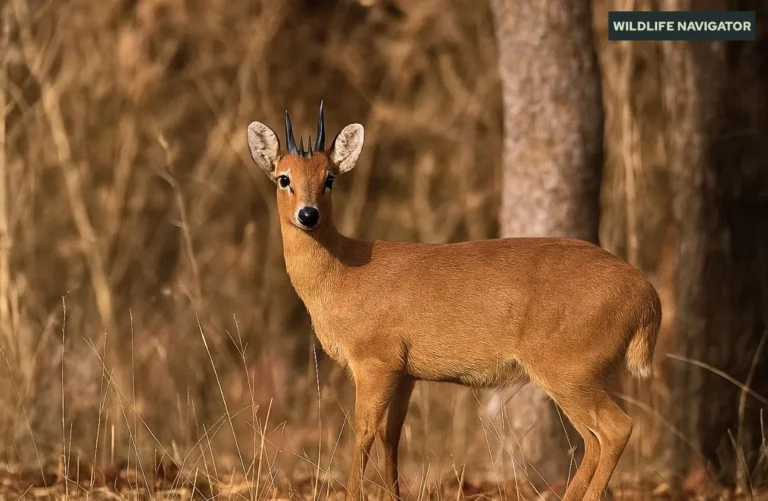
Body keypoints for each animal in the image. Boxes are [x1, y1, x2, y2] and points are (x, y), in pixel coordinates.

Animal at [246, 102, 661, 501]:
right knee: (593, 439)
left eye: (329, 178)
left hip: (570, 368)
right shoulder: (406, 371)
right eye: (284, 178)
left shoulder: (374, 359)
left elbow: (362, 431)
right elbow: (391, 435)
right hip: (578, 373)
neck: (343, 275)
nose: (308, 215)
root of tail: (648, 297)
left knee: (616, 428)